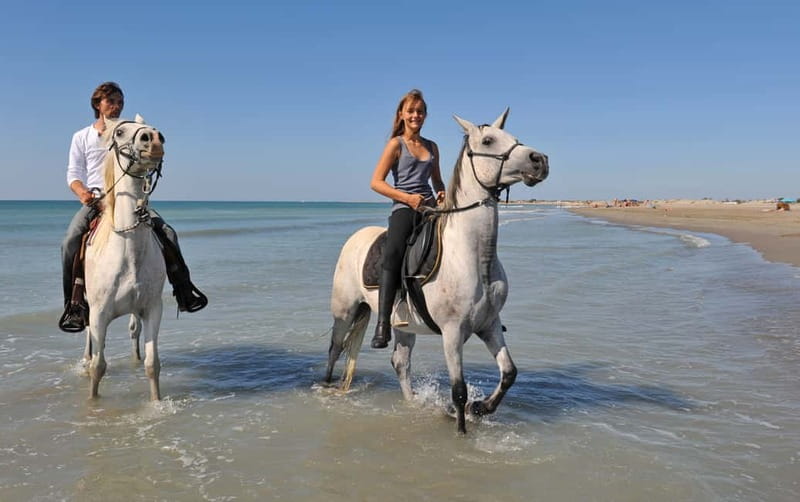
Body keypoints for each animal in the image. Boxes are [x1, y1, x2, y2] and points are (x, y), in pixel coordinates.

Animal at [83, 114, 167, 400]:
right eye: (119, 132)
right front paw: (92, 402)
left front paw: (156, 403)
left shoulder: (152, 309)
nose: (154, 139)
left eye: (152, 128)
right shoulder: (99, 314)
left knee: (133, 332)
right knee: (89, 340)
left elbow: (153, 364)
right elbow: (99, 367)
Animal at [325, 109, 549, 433]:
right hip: (345, 311)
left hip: (403, 326)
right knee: (335, 348)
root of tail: (355, 238)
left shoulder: (489, 324)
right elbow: (459, 390)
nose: (539, 160)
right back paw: (326, 387)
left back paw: (412, 404)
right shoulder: (452, 332)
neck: (473, 258)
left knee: (400, 362)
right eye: (488, 140)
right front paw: (462, 429)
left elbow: (509, 372)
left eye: (514, 138)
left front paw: (480, 408)